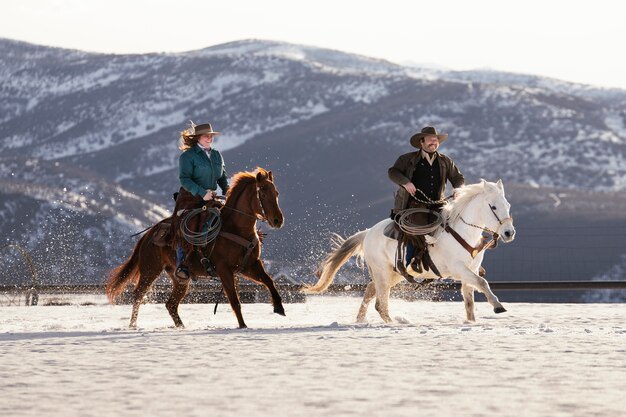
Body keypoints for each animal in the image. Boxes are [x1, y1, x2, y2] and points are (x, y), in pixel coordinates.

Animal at [105, 167, 286, 328]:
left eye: (276, 193)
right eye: (263, 193)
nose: (278, 220)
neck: (235, 228)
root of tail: (149, 234)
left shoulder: (250, 266)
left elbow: (269, 281)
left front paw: (279, 307)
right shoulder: (224, 270)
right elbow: (235, 301)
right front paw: (243, 326)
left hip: (179, 279)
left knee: (171, 304)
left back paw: (181, 327)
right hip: (150, 269)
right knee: (139, 295)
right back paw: (133, 325)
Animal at [304, 179, 516, 322]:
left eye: (508, 205)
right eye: (493, 206)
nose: (509, 233)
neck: (463, 232)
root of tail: (367, 233)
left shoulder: (470, 269)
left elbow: (469, 299)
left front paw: (472, 321)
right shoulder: (459, 269)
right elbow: (482, 282)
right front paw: (498, 306)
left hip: (394, 273)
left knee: (371, 290)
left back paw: (361, 320)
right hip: (383, 272)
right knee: (380, 303)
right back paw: (393, 323)